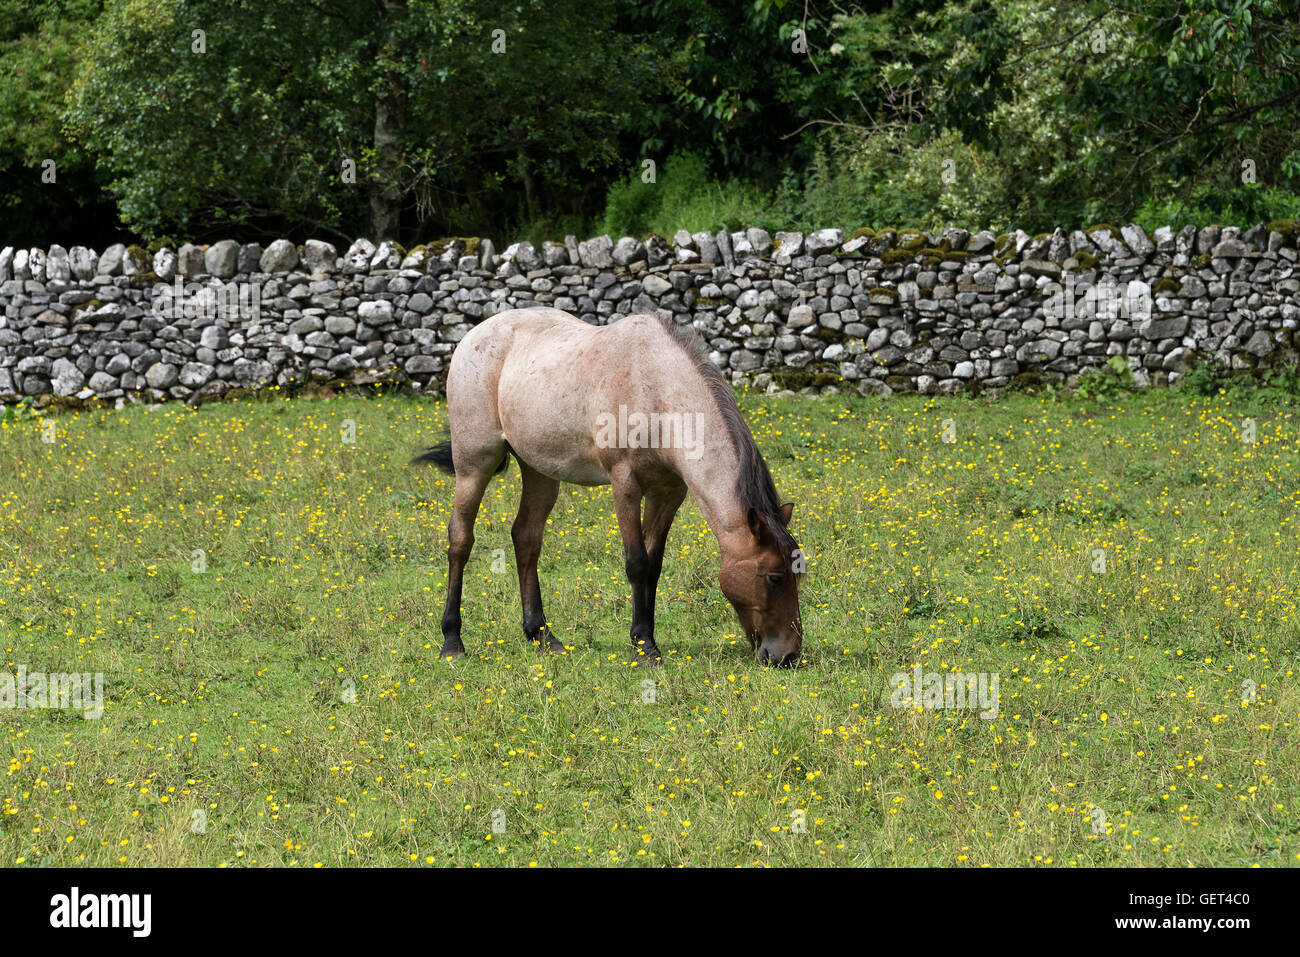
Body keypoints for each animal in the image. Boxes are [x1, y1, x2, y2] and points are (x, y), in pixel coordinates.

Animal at [416, 306, 800, 665]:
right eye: (774, 577)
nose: (788, 655)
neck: (656, 391)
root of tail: (474, 334)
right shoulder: (624, 483)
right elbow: (637, 563)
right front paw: (645, 647)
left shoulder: (668, 493)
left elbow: (653, 565)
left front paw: (645, 637)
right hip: (473, 465)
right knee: (460, 540)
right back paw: (452, 641)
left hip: (540, 471)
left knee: (525, 538)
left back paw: (542, 636)